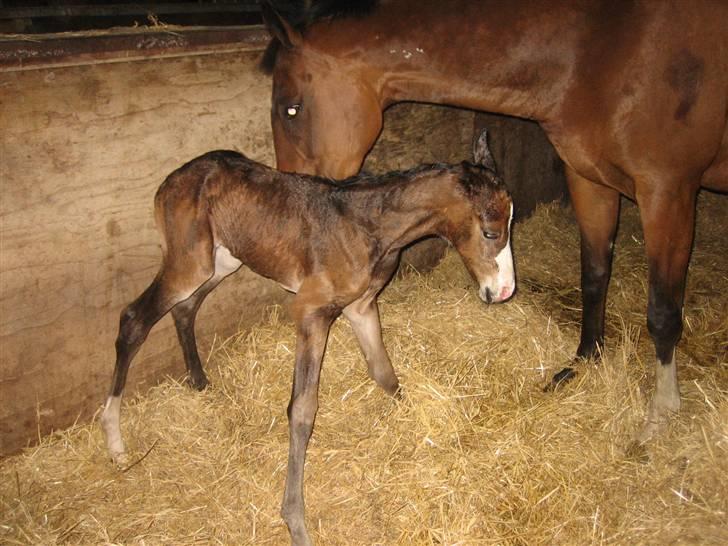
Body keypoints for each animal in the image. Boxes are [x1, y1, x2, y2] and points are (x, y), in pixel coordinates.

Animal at [262, 0, 728, 440]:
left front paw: (660, 415)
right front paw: (583, 361)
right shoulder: (588, 179)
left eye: (291, 109)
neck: (597, 51)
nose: (289, 197)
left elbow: (663, 311)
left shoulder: (668, 191)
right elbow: (595, 275)